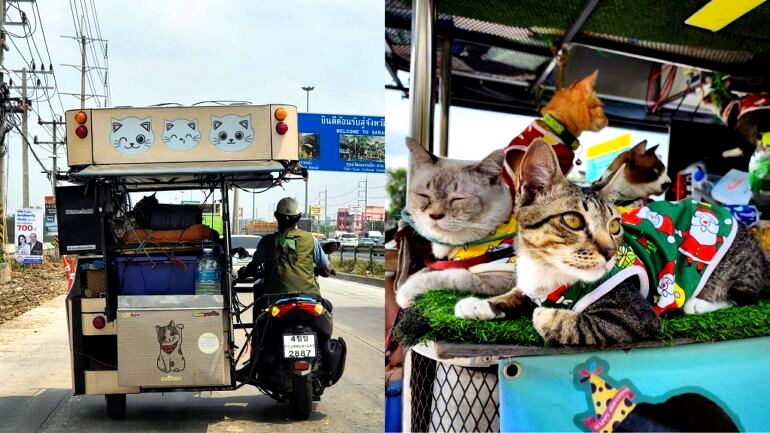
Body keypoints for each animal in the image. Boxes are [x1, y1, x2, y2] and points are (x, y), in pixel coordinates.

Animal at [392, 138, 512, 308]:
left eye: (458, 199)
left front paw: (404, 294)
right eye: (424, 196)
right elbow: (425, 270)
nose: (435, 215)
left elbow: (446, 277)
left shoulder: (501, 277)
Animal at [452, 138, 764, 344]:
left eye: (615, 226)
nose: (610, 251)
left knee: (746, 297)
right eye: (573, 221)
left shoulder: (636, 314)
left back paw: (698, 304)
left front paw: (544, 314)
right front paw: (481, 305)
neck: (547, 271)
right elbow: (517, 294)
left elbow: (576, 325)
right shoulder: (531, 284)